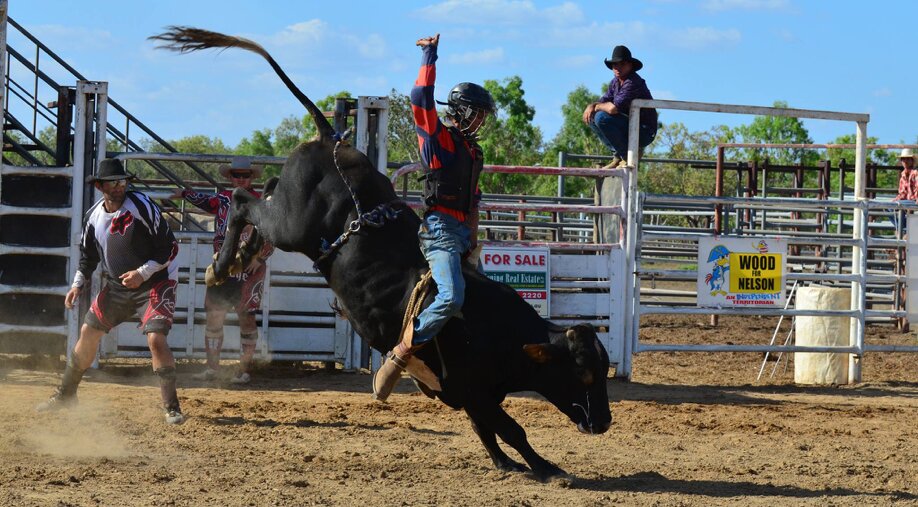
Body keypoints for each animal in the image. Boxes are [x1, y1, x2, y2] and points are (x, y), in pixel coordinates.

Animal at [153, 26, 612, 480]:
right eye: (585, 372)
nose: (605, 422)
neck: (501, 331)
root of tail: (331, 138)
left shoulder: (470, 394)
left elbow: (487, 430)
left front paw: (507, 464)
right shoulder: (473, 388)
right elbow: (511, 429)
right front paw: (548, 468)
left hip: (284, 214)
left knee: (259, 195)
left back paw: (239, 258)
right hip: (291, 224)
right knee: (241, 200)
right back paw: (219, 266)